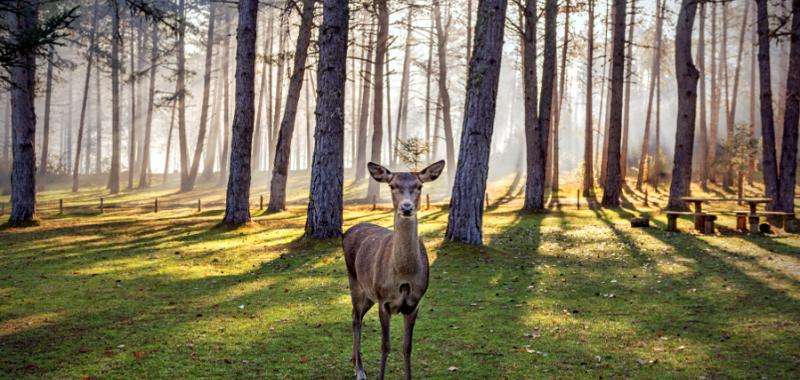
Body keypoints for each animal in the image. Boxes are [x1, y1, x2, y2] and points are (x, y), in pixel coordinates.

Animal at [342, 160, 446, 380]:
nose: (406, 207)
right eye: (392, 186)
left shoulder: (414, 303)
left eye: (419, 186)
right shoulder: (384, 300)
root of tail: (346, 232)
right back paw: (360, 370)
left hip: (369, 293)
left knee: (357, 315)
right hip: (355, 280)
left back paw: (355, 362)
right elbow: (385, 346)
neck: (403, 275)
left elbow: (407, 347)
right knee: (356, 317)